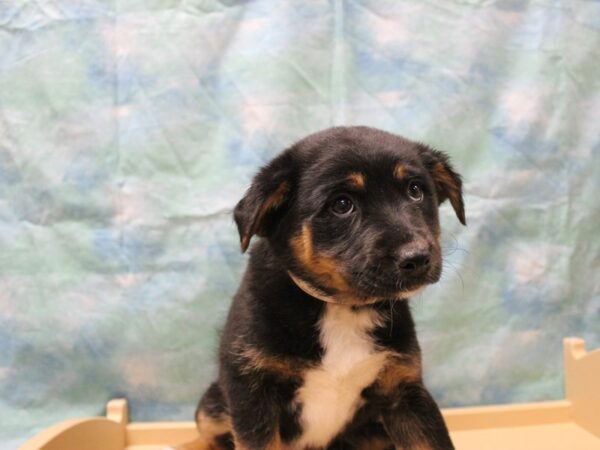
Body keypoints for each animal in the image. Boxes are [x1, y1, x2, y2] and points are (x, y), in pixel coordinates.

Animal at [177, 125, 464, 450]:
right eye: (341, 204)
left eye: (415, 190)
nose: (416, 258)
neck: (343, 307)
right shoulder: (251, 391)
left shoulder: (404, 390)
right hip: (211, 404)